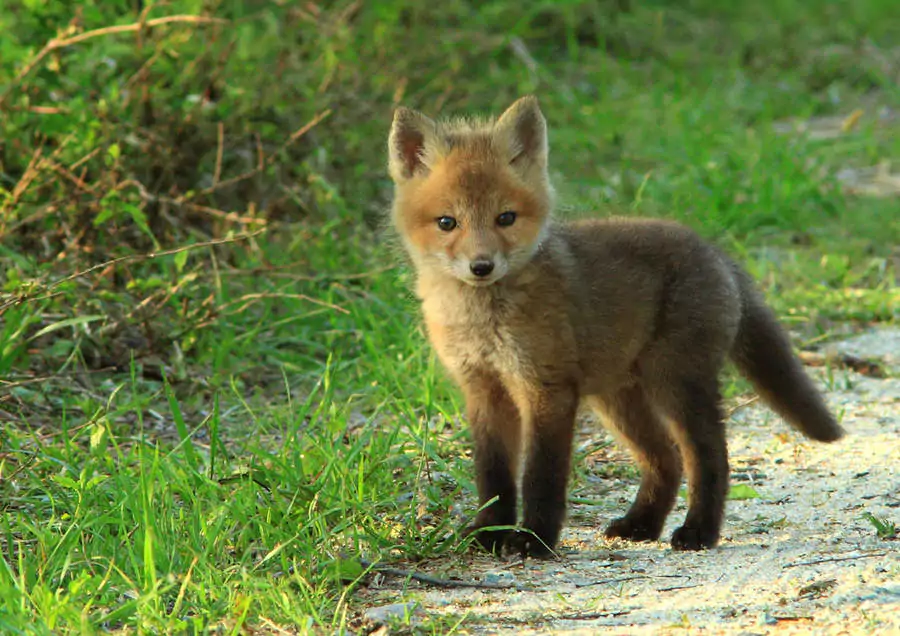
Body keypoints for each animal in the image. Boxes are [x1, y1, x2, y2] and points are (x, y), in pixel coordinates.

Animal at [386, 94, 844, 556]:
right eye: (447, 222)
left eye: (506, 218)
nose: (481, 266)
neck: (482, 320)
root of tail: (714, 251)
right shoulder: (483, 389)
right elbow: (493, 475)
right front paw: (489, 533)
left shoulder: (547, 387)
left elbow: (541, 475)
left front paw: (535, 538)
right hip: (618, 398)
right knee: (667, 458)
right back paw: (641, 524)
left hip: (674, 383)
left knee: (709, 455)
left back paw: (699, 531)